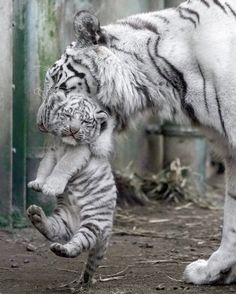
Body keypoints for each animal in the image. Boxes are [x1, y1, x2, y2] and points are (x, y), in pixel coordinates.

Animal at [27, 94, 116, 288]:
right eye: (67, 116)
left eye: (85, 121)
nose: (73, 130)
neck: (64, 144)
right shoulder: (52, 151)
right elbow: (45, 166)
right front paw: (38, 184)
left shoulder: (79, 152)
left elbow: (62, 166)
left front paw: (51, 187)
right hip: (64, 219)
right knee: (54, 231)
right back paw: (36, 215)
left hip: (94, 224)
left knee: (78, 245)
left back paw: (63, 250)